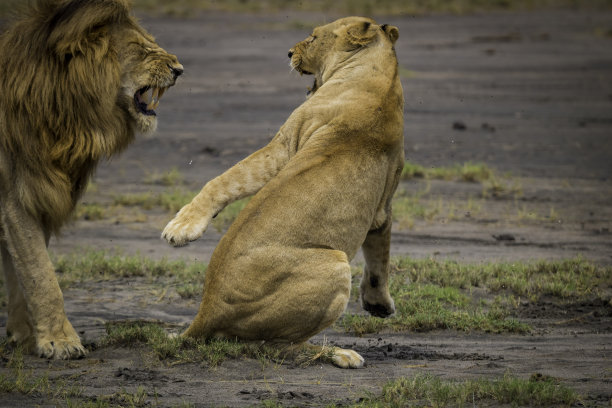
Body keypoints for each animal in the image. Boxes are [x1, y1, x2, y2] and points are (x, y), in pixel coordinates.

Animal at [0, 0, 183, 356]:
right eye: (140, 48)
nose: (180, 70)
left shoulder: (43, 192)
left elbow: (24, 271)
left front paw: (25, 335)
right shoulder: (14, 194)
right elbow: (41, 273)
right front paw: (60, 341)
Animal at [163, 15, 402, 368]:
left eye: (313, 37)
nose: (289, 52)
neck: (382, 77)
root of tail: (205, 312)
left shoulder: (291, 150)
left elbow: (379, 260)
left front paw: (379, 305)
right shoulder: (289, 146)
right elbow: (225, 179)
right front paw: (182, 228)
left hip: (333, 264)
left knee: (276, 346)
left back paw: (337, 353)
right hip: (335, 263)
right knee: (276, 346)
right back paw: (339, 353)